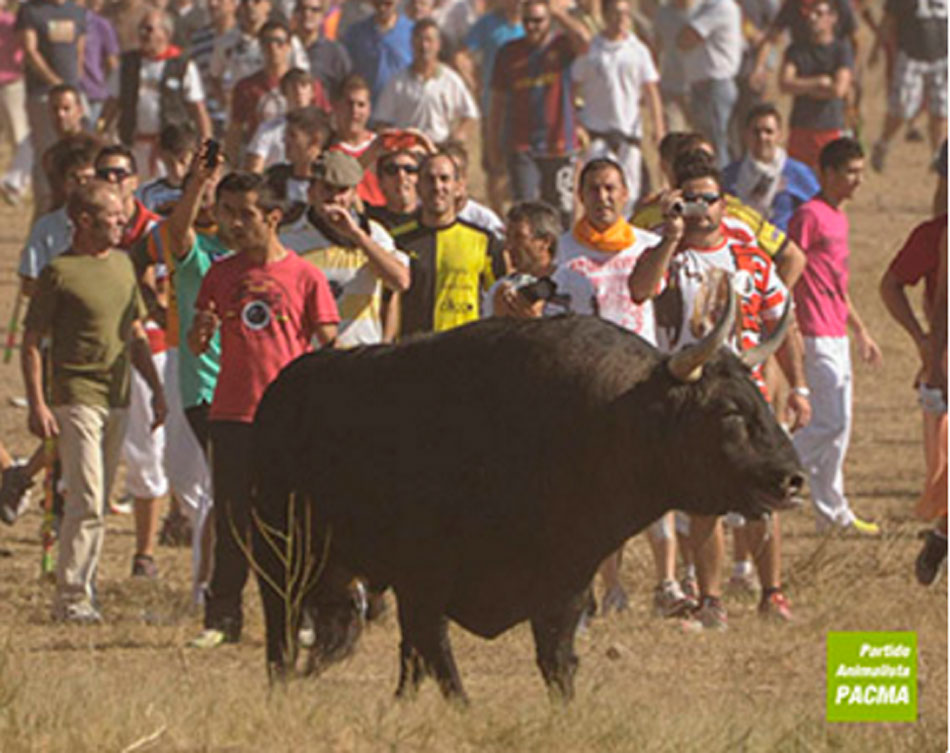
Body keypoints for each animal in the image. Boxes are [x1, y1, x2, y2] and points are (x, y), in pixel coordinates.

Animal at [251, 312, 804, 700]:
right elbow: (446, 668)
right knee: (281, 641)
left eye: (762, 399)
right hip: (280, 562)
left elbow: (554, 665)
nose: (793, 479)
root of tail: (277, 394)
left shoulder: (565, 585)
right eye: (729, 410)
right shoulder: (424, 584)